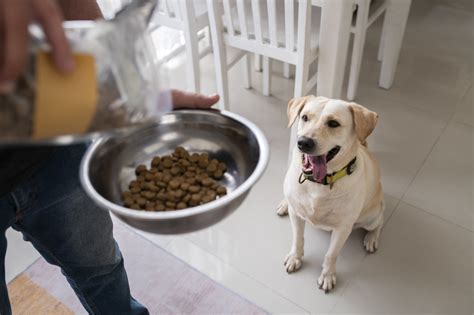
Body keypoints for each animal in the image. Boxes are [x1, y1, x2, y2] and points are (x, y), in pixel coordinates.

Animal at [276, 95, 384, 294]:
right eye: (304, 117)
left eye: (333, 123)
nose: (303, 142)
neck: (319, 183)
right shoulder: (297, 215)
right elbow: (298, 239)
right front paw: (295, 257)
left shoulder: (343, 228)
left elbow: (331, 254)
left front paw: (327, 275)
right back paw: (284, 204)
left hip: (371, 216)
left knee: (378, 224)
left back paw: (372, 238)